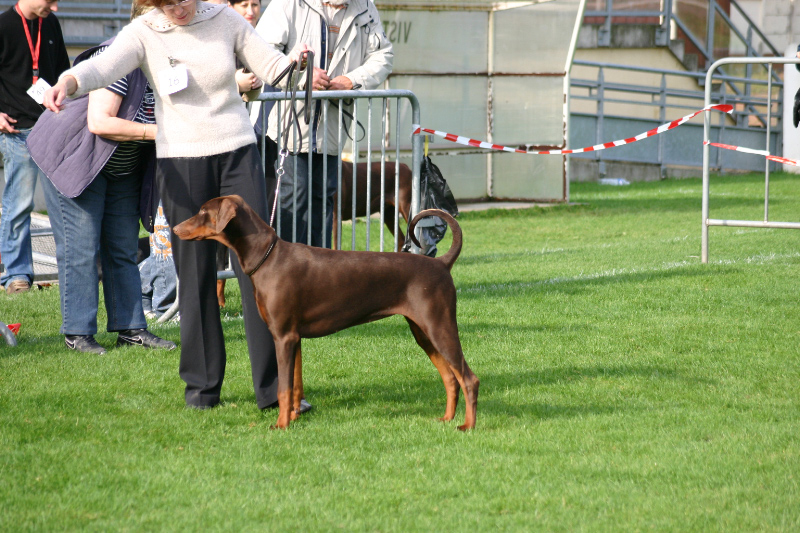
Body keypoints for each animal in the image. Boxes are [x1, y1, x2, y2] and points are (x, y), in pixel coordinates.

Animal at [173, 195, 478, 432]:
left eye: (203, 211)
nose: (174, 228)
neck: (267, 258)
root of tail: (441, 263)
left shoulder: (283, 336)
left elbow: (283, 387)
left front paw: (281, 425)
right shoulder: (294, 338)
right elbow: (295, 385)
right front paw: (294, 417)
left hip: (439, 326)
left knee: (468, 378)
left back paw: (467, 425)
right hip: (423, 332)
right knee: (450, 377)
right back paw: (447, 418)